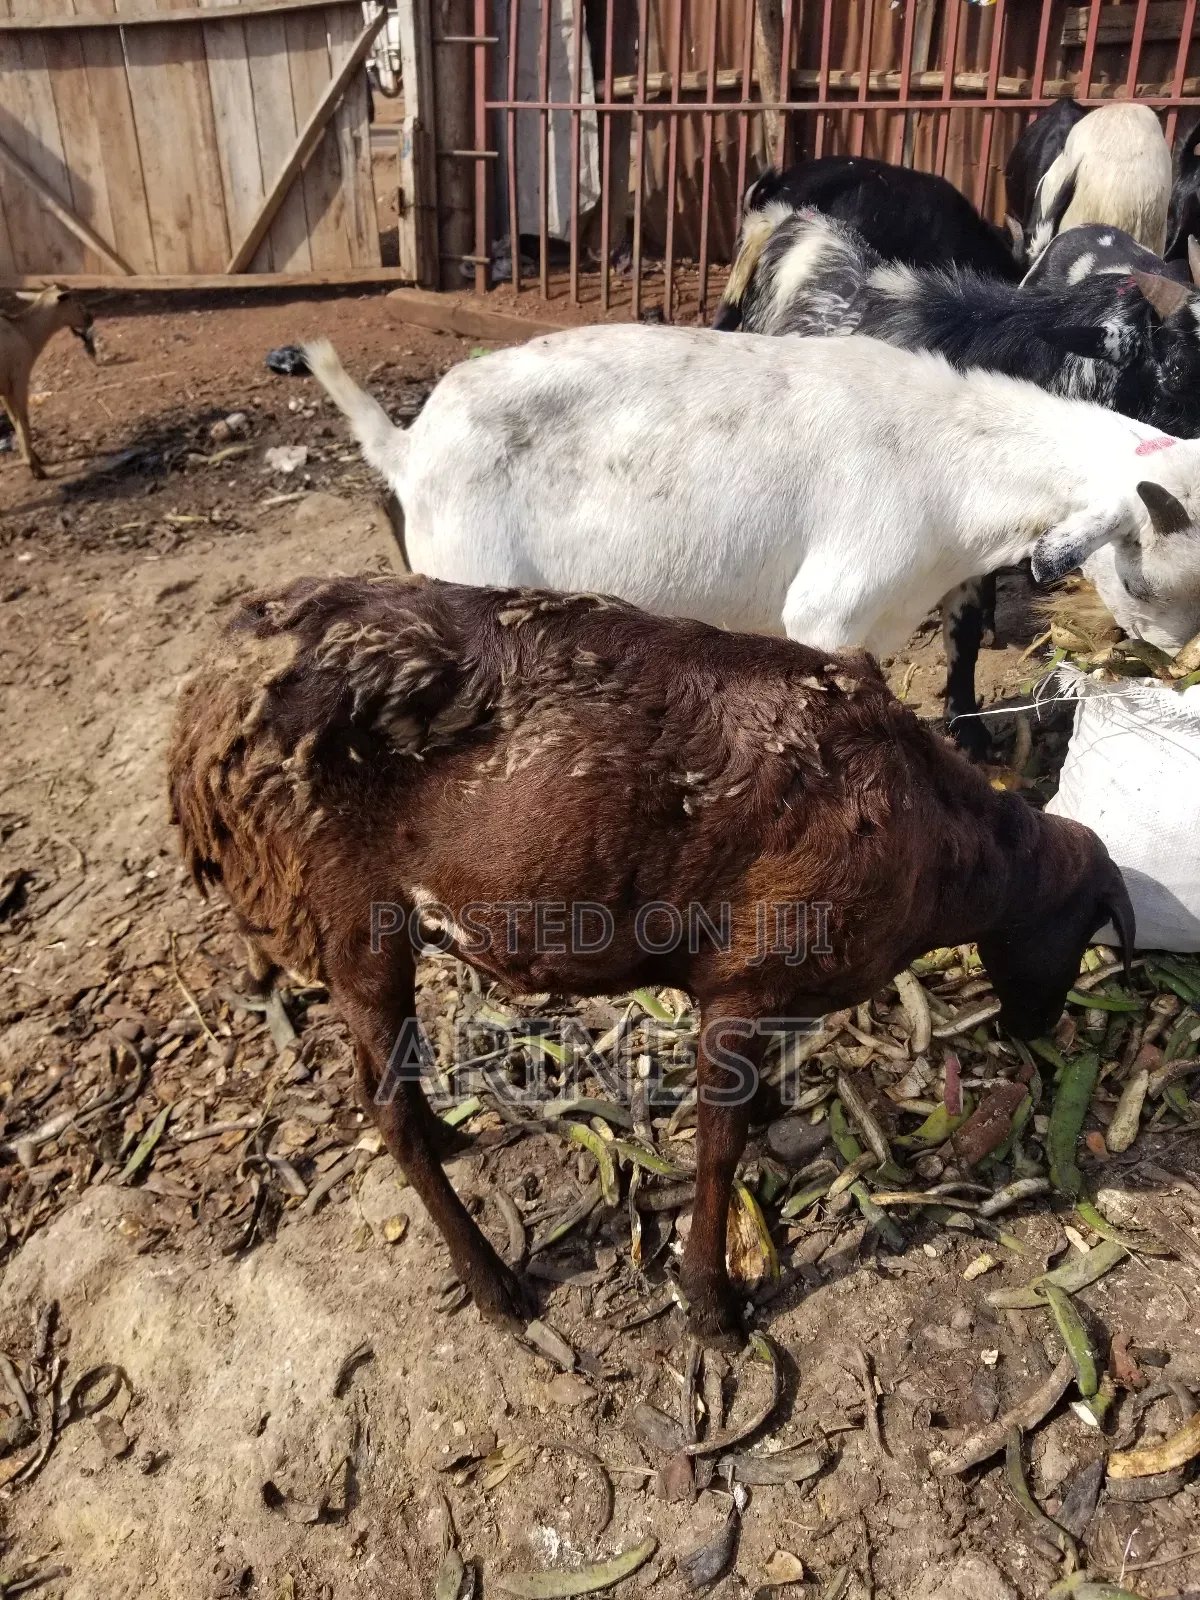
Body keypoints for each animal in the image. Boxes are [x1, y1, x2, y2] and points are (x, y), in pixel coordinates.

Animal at [0, 286, 95, 479]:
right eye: (76, 302)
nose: (90, 317)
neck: (23, 331)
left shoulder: (5, 389)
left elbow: (14, 419)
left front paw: (35, 457)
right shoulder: (19, 379)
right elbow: (23, 420)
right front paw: (35, 467)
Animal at [169, 572, 1135, 1343]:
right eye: (1082, 932)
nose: (1033, 1028)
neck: (947, 854)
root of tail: (202, 714)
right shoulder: (744, 978)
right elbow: (717, 1148)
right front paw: (712, 1307)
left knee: (396, 1090)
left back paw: (452, 1139)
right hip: (353, 923)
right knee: (385, 1109)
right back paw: (495, 1287)